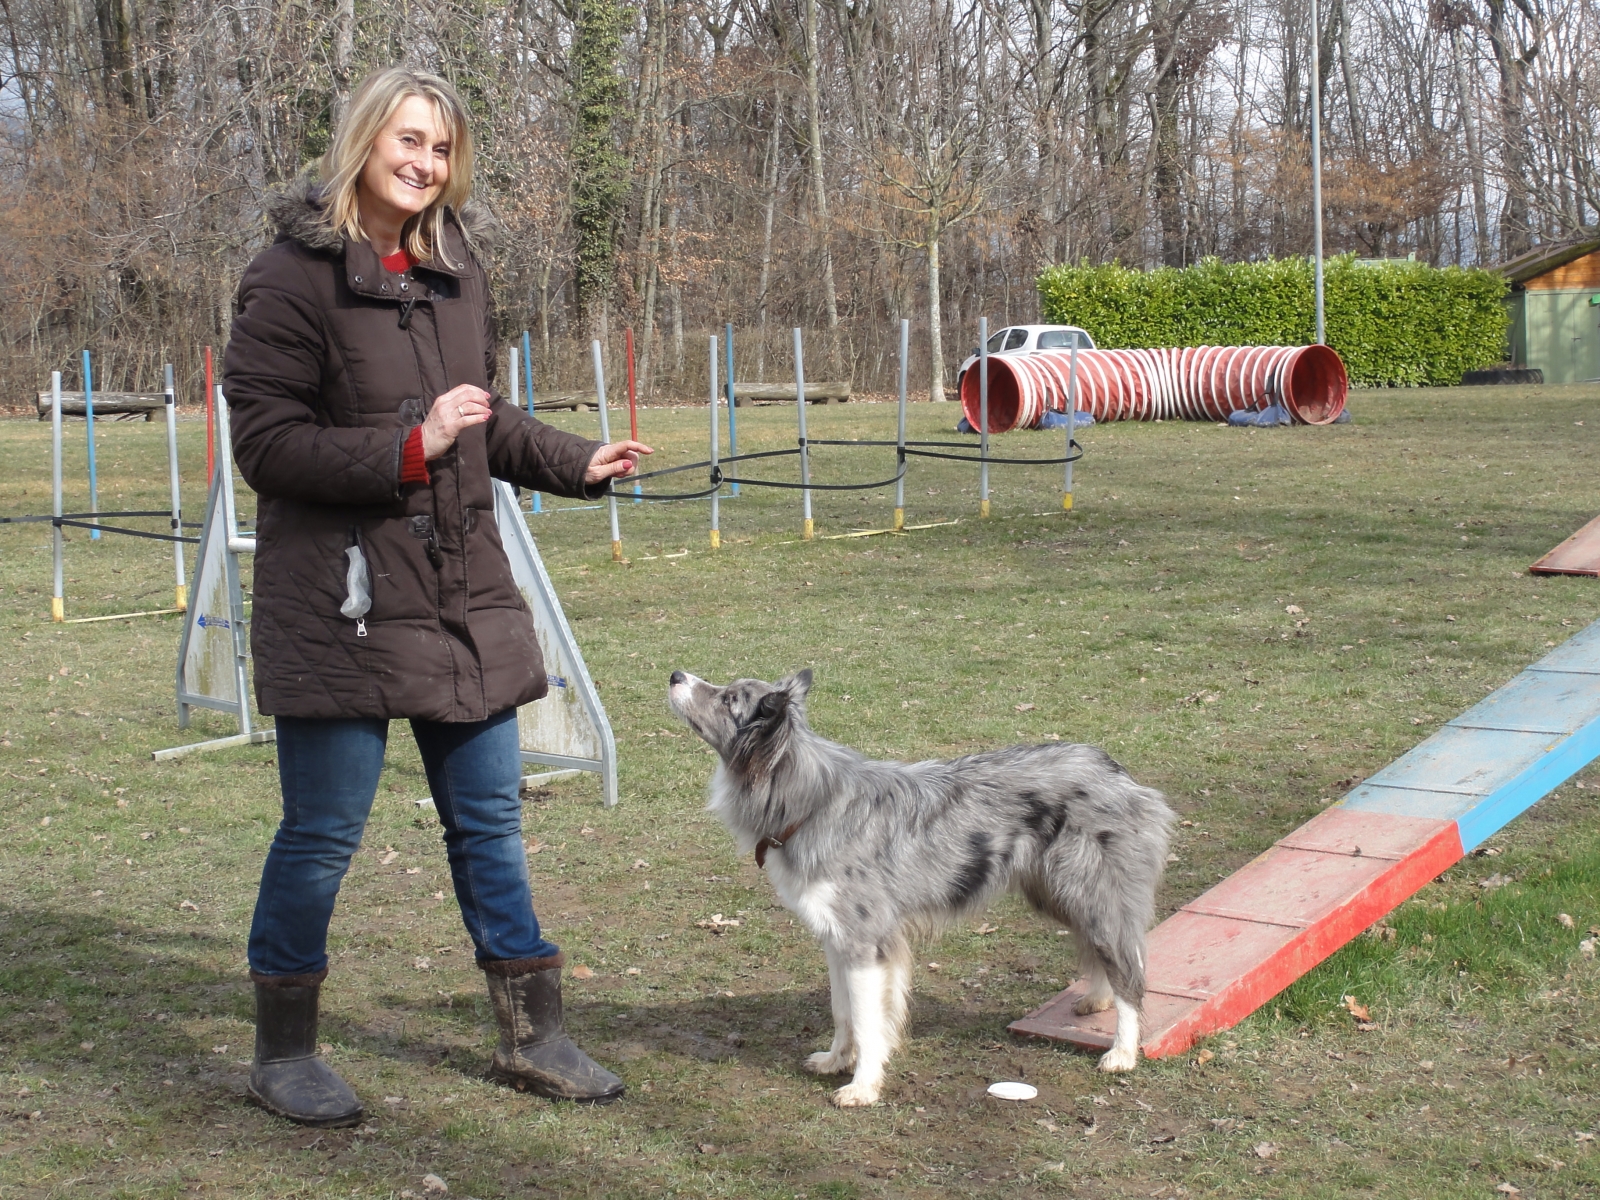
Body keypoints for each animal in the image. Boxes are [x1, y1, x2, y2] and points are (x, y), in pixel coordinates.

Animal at [665, 668, 1177, 1107]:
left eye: (728, 699)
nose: (674, 675)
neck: (809, 800)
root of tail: (1113, 768)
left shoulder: (865, 943)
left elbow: (868, 1021)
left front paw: (863, 1086)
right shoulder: (837, 939)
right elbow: (842, 1011)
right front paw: (836, 1061)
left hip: (1092, 894)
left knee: (1129, 971)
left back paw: (1122, 1052)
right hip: (1061, 894)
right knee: (1105, 955)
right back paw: (1096, 998)